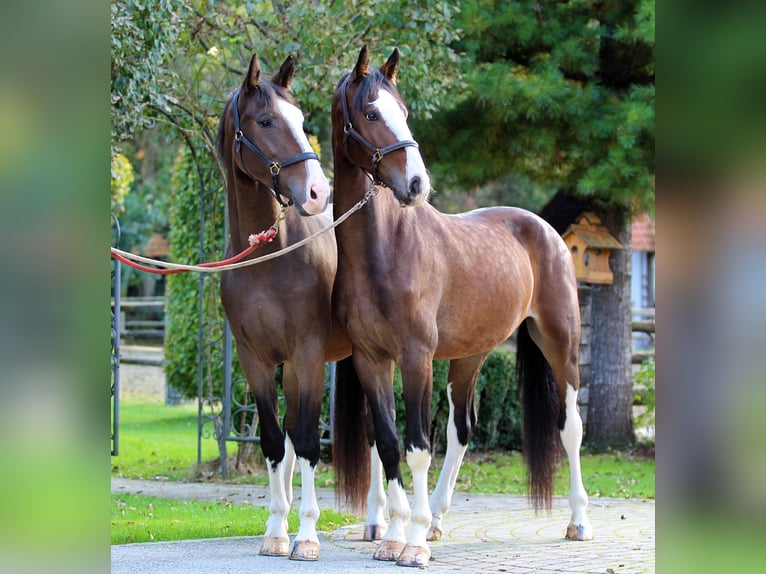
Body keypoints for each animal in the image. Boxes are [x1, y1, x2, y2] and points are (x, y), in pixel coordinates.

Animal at [217, 53, 350, 561]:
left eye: (302, 119)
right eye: (267, 120)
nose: (317, 193)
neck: (268, 260)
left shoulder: (307, 354)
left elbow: (310, 440)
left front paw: (308, 537)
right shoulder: (257, 360)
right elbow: (276, 441)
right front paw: (276, 530)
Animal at [331, 45, 593, 568]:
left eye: (403, 110)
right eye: (370, 113)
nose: (416, 183)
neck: (383, 249)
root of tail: (546, 229)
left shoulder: (415, 358)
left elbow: (416, 448)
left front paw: (410, 544)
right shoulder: (371, 360)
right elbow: (388, 443)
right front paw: (395, 535)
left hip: (560, 344)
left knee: (570, 428)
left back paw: (578, 521)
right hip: (470, 355)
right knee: (462, 429)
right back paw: (434, 517)